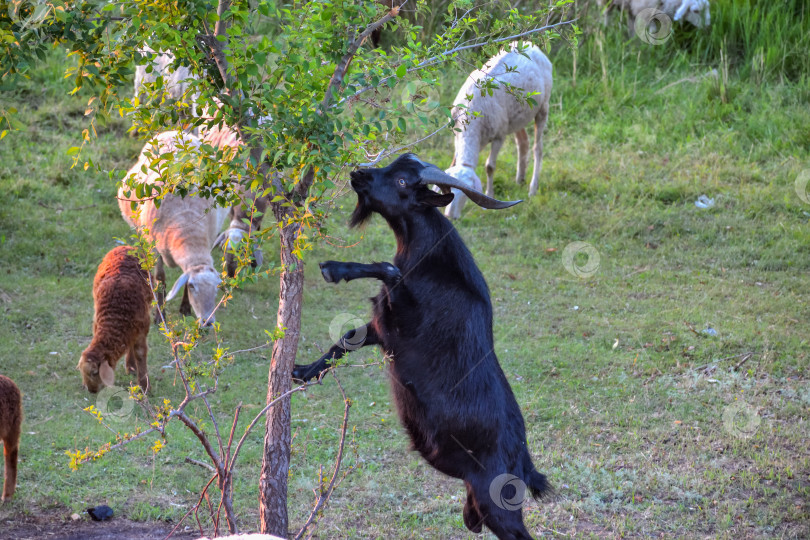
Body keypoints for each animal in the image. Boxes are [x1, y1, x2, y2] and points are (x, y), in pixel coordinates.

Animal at [77, 245, 152, 392]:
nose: (92, 391)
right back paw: (130, 366)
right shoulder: (97, 323)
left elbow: (140, 354)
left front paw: (144, 386)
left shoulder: (142, 328)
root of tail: (125, 246)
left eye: (95, 372)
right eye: (82, 372)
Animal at [115, 131, 227, 326]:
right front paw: (160, 315)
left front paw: (185, 308)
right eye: (192, 286)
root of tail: (174, 132)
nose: (208, 321)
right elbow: (160, 278)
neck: (187, 227)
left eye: (216, 289)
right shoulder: (155, 246)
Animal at [292, 153, 548, 540]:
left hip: (497, 501)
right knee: (472, 522)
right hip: (476, 500)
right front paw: (302, 371)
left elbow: (387, 269)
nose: (358, 174)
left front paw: (334, 269)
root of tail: (524, 459)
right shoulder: (382, 328)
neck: (428, 260)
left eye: (402, 182)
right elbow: (346, 338)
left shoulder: (405, 320)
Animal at [442, 41, 548, 219]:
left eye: (464, 194)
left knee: (537, 148)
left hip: (543, 106)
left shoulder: (499, 136)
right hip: (514, 118)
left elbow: (489, 167)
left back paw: (533, 188)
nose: (450, 216)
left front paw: (489, 197)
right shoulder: (456, 135)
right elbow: (454, 161)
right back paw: (520, 179)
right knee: (523, 142)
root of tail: (529, 44)